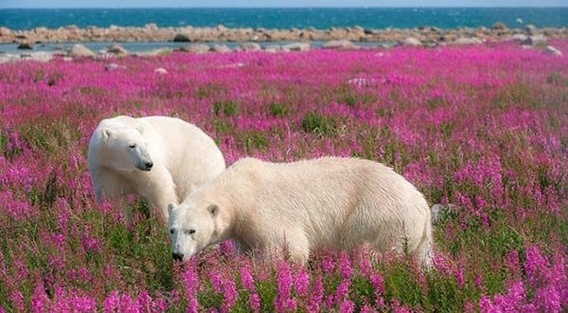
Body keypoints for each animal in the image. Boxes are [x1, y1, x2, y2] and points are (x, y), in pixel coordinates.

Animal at [87, 116, 225, 223]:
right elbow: (114, 199)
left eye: (145, 144)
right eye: (132, 145)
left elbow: (158, 187)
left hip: (195, 165)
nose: (148, 163)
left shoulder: (144, 168)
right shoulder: (105, 168)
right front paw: (120, 224)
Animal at [166, 156, 432, 266]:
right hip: (417, 234)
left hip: (380, 217)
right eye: (172, 230)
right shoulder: (244, 230)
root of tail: (422, 204)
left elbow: (289, 248)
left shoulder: (264, 213)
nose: (177, 255)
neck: (242, 190)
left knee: (372, 252)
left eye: (192, 230)